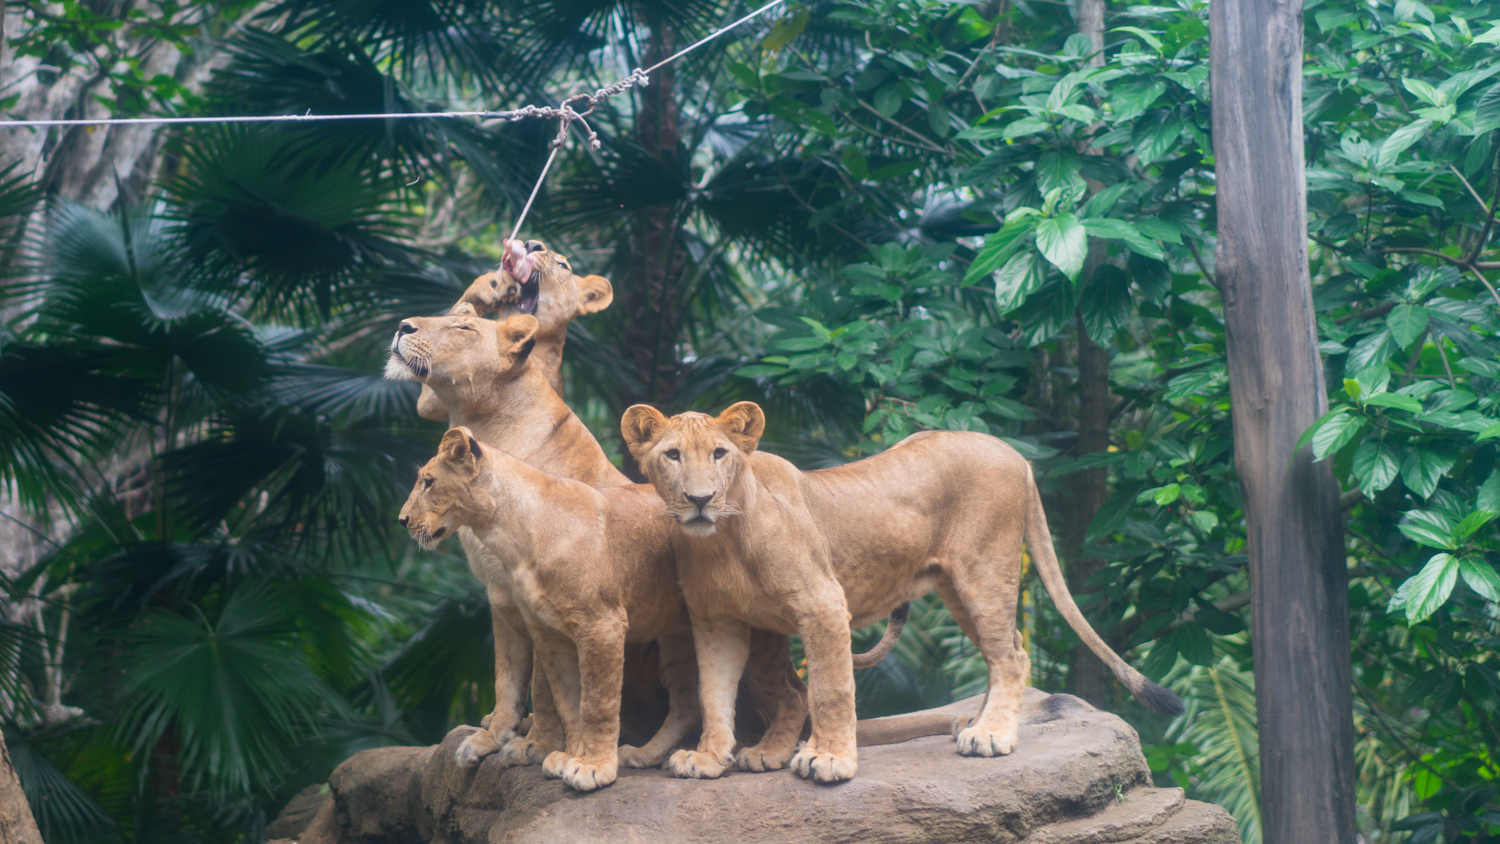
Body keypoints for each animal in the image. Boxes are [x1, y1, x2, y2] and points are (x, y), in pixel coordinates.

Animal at [621, 401, 1182, 785]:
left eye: (719, 454)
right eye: (672, 455)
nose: (699, 499)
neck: (719, 539)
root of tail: (1014, 453)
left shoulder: (823, 603)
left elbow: (832, 688)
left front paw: (830, 758)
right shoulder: (716, 622)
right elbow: (714, 692)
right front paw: (707, 757)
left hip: (984, 571)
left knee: (1013, 656)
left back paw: (991, 734)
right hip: (952, 590)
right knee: (1006, 649)